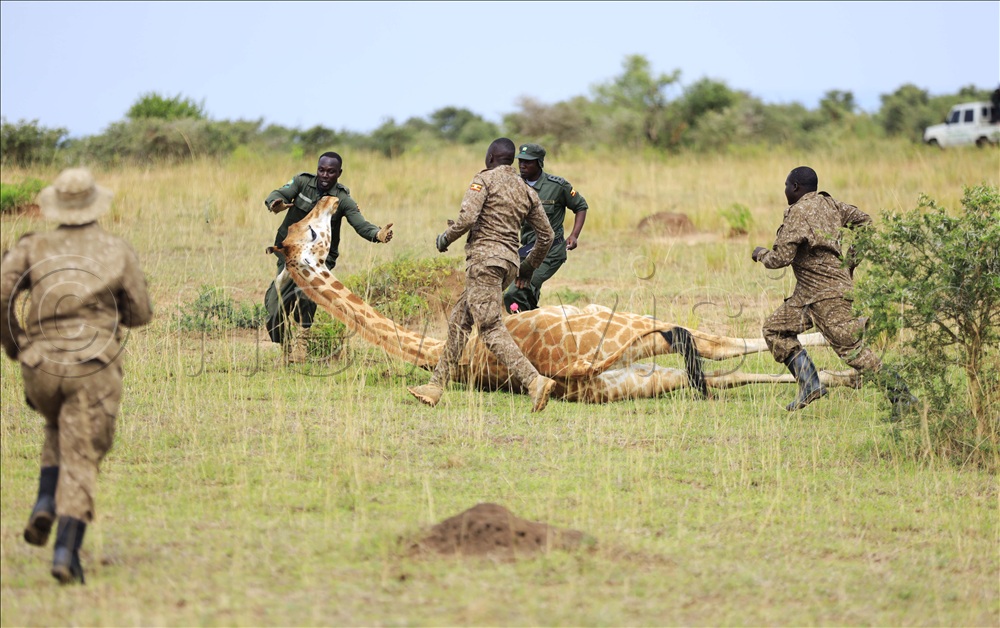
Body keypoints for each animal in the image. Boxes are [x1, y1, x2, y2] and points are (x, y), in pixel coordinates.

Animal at [268, 196, 859, 403]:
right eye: (310, 228)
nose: (327, 198)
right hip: (634, 345)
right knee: (715, 351)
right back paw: (849, 370)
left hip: (640, 371)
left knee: (721, 362)